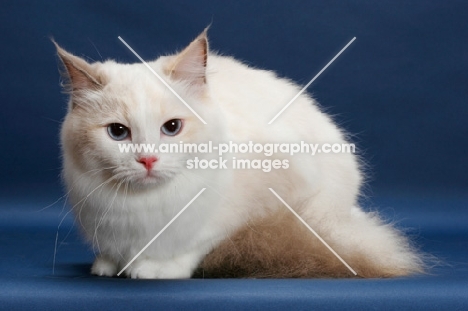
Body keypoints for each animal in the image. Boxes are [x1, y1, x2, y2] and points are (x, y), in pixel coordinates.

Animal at [54, 30, 424, 280]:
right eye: (118, 132)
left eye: (172, 127)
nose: (147, 160)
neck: (141, 205)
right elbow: (112, 251)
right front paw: (108, 265)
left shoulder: (253, 206)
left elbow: (198, 241)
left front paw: (154, 267)